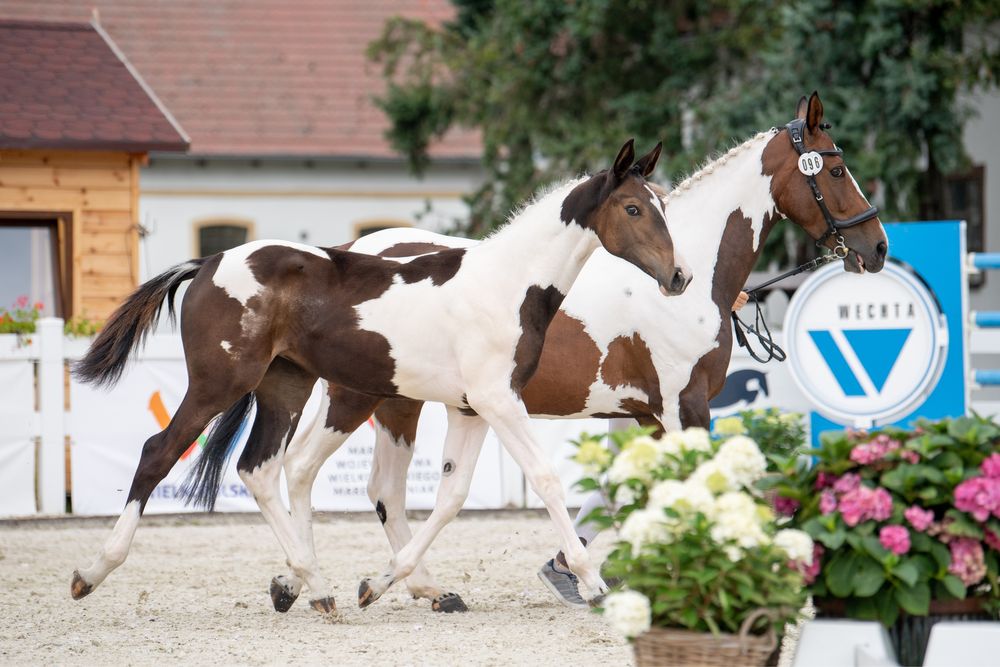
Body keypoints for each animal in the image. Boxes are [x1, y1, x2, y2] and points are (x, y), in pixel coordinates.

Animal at [68, 140, 688, 612]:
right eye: (633, 209)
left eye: (662, 205)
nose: (679, 276)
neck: (506, 285)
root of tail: (208, 264)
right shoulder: (499, 401)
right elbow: (545, 479)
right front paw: (591, 581)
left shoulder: (471, 408)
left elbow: (452, 495)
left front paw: (381, 583)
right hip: (219, 385)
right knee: (159, 452)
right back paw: (92, 573)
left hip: (285, 388)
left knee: (261, 469)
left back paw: (314, 586)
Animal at [260, 91, 892, 612]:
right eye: (836, 168)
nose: (877, 247)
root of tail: (346, 251)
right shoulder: (682, 407)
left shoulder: (644, 416)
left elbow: (628, 493)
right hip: (361, 395)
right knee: (306, 469)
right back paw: (324, 582)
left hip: (400, 401)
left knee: (383, 490)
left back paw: (376, 585)